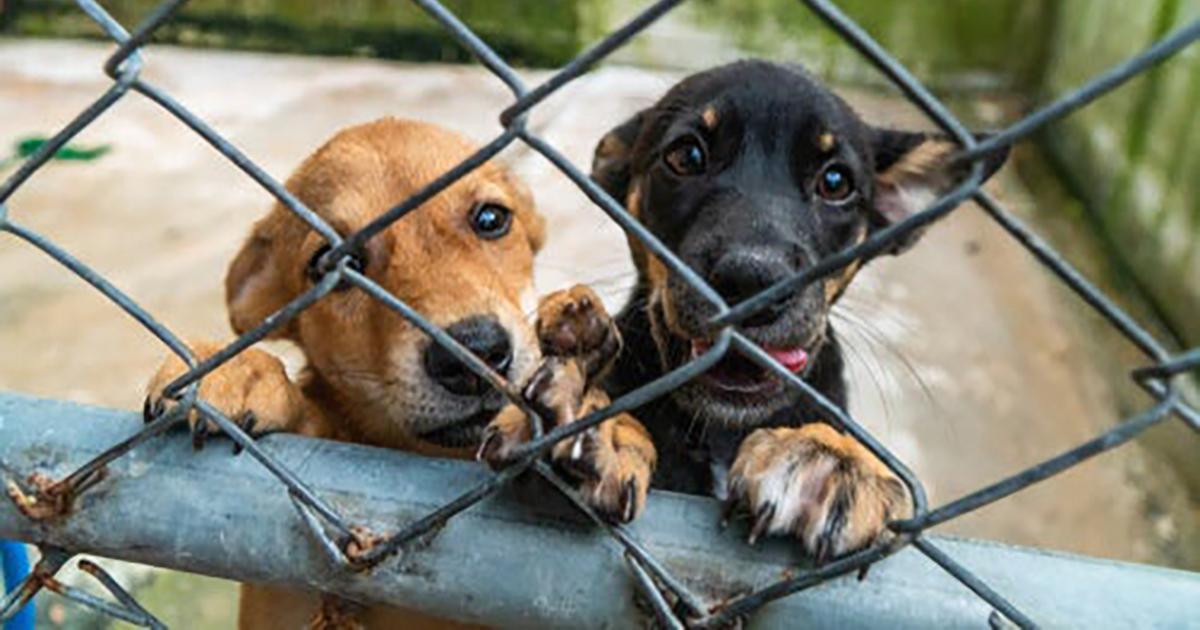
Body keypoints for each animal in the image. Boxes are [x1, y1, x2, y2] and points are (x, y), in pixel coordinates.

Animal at [590, 61, 1003, 556]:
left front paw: (833, 458)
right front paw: (601, 424)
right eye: (685, 156)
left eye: (835, 182)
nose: (752, 280)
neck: (723, 431)